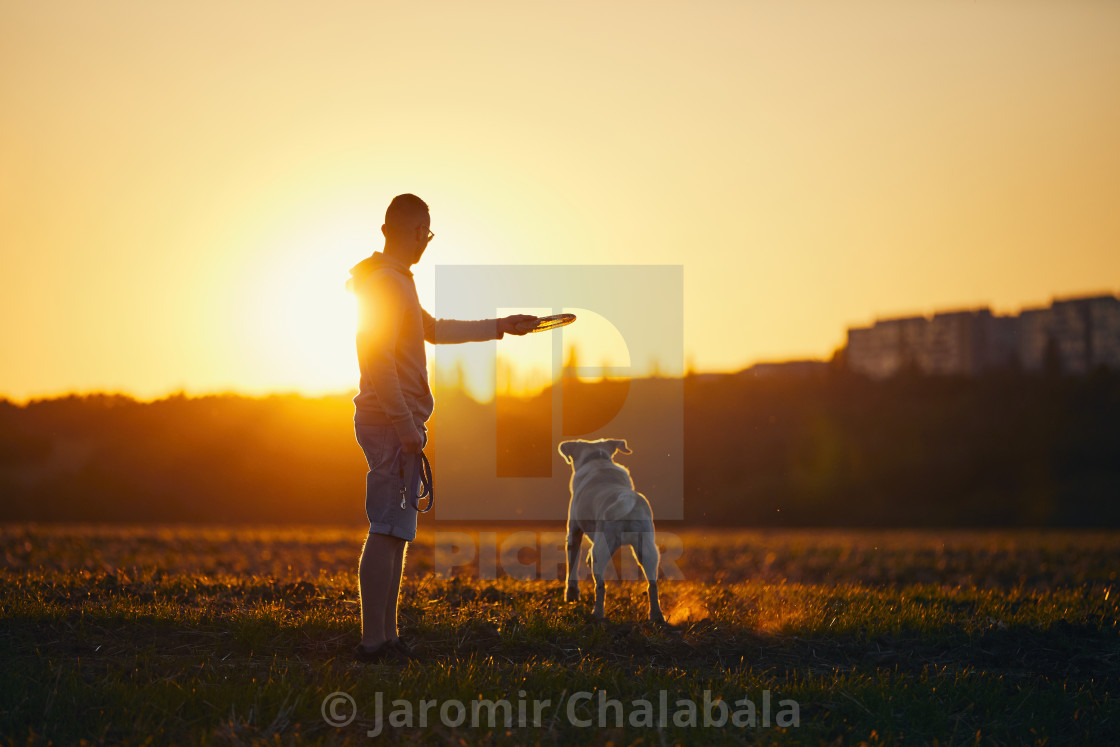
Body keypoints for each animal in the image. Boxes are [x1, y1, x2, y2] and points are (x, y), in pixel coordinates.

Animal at [555, 439, 658, 627]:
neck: (598, 461)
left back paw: (597, 615)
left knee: (600, 585)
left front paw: (571, 596)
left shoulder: (574, 532)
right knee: (652, 585)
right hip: (647, 550)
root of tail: (626, 497)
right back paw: (657, 617)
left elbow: (571, 568)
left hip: (600, 550)